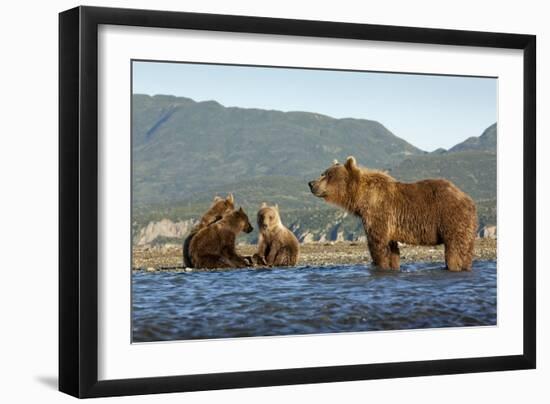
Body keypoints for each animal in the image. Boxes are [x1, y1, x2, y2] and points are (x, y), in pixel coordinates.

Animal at [308, 157, 480, 272]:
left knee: (455, 249)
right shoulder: (389, 224)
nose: (311, 183)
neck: (361, 198)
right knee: (466, 250)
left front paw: (380, 265)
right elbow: (391, 249)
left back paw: (453, 266)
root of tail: (468, 199)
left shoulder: (379, 212)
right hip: (467, 226)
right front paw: (393, 266)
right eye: (323, 173)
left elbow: (378, 244)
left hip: (451, 218)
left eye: (327, 174)